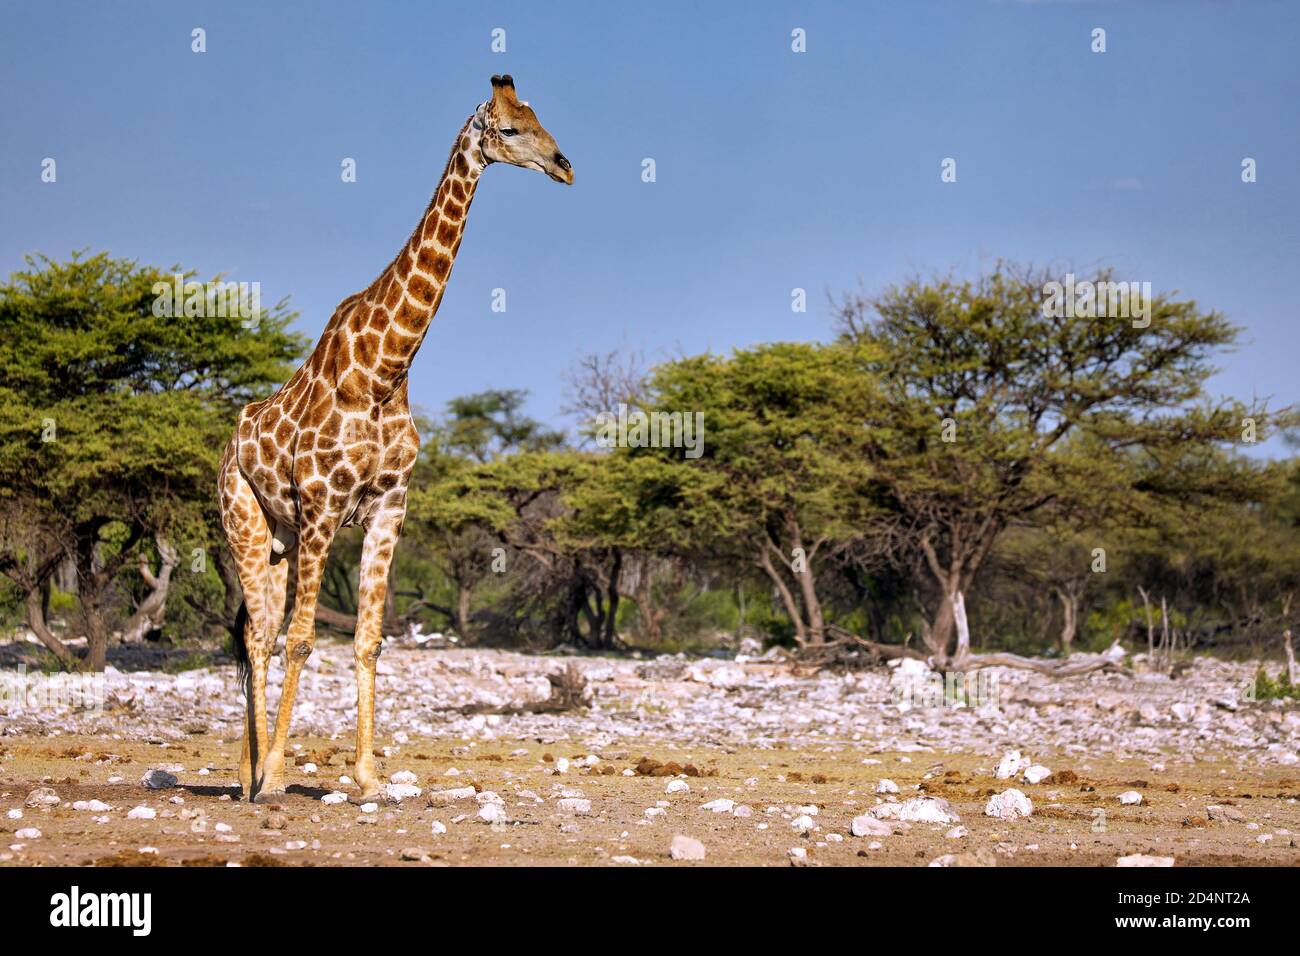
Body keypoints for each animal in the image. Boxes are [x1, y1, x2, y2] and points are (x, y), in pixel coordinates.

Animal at [218, 74, 574, 806]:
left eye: (542, 119)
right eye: (511, 129)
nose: (565, 166)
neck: (385, 370)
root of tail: (228, 444)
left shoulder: (388, 508)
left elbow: (369, 640)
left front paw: (367, 776)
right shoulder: (324, 509)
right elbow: (304, 640)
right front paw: (279, 775)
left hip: (279, 538)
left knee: (255, 631)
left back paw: (247, 770)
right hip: (243, 521)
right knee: (263, 636)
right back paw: (260, 776)